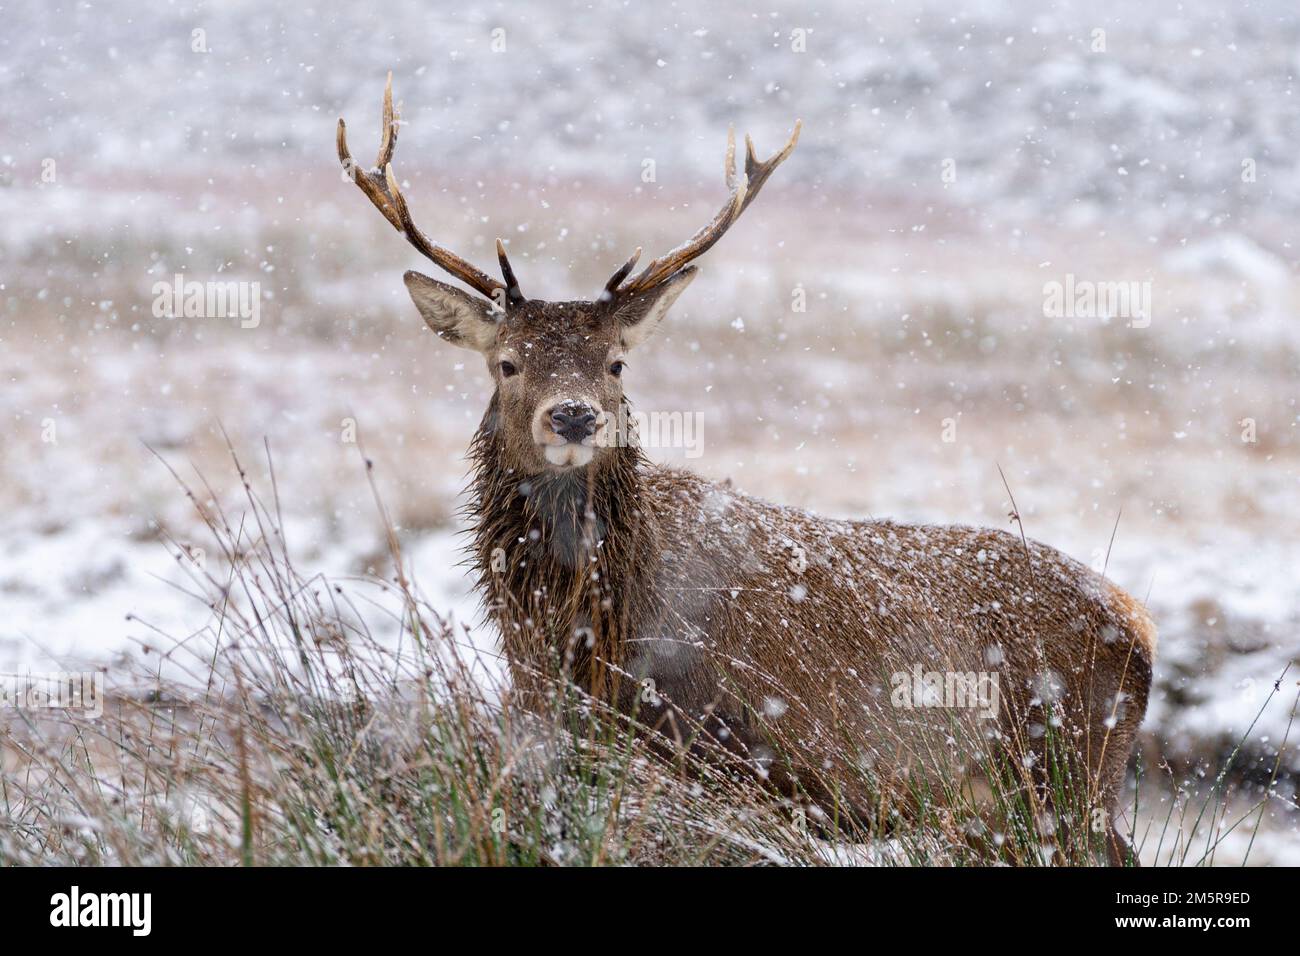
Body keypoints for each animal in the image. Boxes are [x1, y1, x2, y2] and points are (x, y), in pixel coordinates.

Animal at [338, 74, 1156, 865]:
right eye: (506, 362)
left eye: (616, 363)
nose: (573, 416)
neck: (584, 631)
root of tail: (1139, 624)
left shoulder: (724, 750)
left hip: (1065, 770)